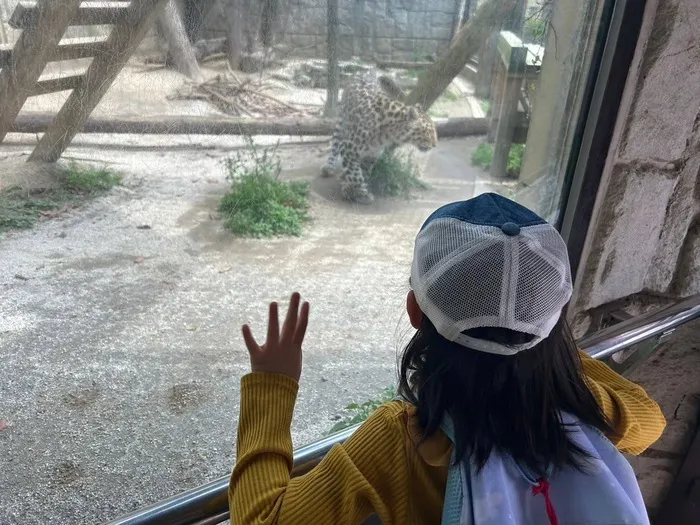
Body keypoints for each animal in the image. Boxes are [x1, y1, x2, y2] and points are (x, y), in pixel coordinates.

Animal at [322, 73, 438, 203]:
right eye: (428, 132)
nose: (435, 144)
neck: (388, 133)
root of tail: (367, 72)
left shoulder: (373, 153)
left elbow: (363, 172)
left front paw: (351, 189)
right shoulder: (350, 149)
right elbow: (356, 176)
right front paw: (361, 193)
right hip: (341, 121)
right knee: (335, 144)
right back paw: (329, 167)